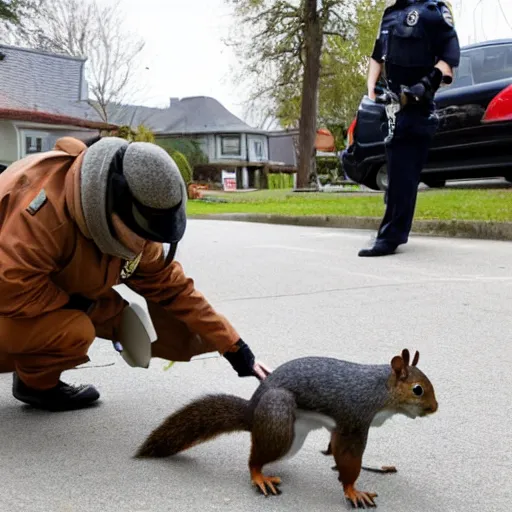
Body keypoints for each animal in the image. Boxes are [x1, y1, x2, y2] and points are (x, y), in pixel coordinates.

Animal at [135, 348, 436, 508]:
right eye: (418, 390)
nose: (435, 408)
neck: (380, 391)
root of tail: (252, 412)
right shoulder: (354, 420)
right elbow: (350, 460)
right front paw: (353, 490)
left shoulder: (343, 426)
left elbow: (336, 447)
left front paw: (334, 461)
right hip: (279, 419)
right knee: (255, 460)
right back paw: (260, 476)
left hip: (294, 435)